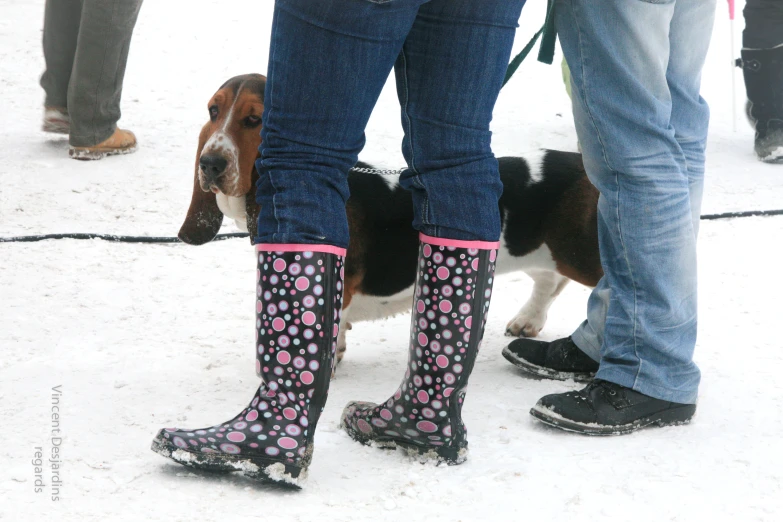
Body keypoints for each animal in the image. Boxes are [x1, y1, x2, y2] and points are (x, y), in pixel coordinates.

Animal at [181, 73, 604, 366]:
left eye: (254, 119)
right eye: (213, 112)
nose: (210, 163)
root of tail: (588, 170)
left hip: (583, 255)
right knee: (549, 280)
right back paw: (527, 321)